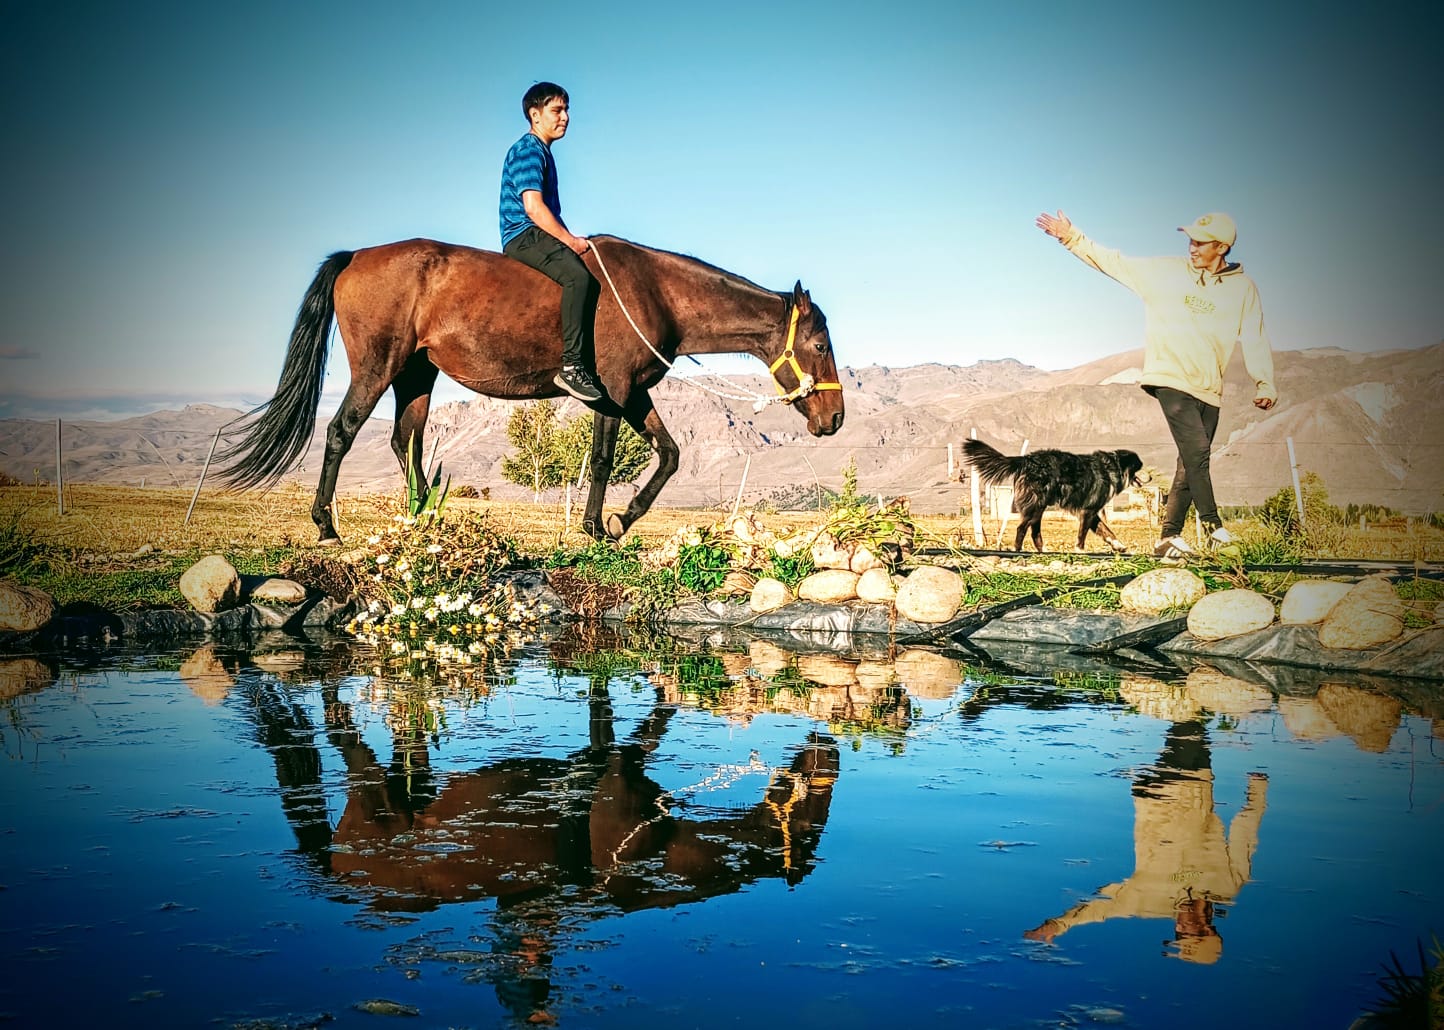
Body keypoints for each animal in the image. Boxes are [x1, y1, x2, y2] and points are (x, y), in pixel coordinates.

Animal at [218, 236, 845, 543]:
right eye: (819, 345)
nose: (835, 418)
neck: (656, 292)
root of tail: (355, 258)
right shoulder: (612, 391)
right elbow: (602, 459)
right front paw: (596, 528)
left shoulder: (634, 394)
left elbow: (668, 455)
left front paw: (623, 520)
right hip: (378, 367)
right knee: (342, 432)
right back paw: (326, 526)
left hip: (417, 375)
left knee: (405, 442)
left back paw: (423, 518)